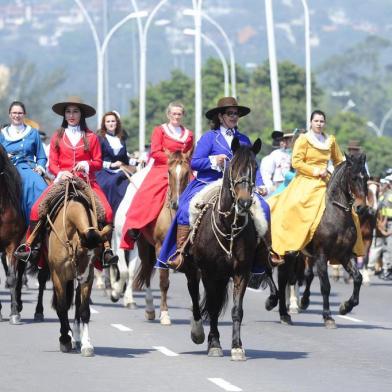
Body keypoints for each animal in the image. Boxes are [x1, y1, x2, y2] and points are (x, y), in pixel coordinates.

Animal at [45, 179, 108, 356]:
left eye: (96, 254)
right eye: (80, 252)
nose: (82, 276)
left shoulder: (88, 276)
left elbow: (84, 310)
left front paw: (86, 344)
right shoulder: (58, 276)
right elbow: (61, 307)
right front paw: (65, 338)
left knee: (77, 305)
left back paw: (77, 337)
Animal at [134, 150, 192, 324]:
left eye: (187, 172)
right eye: (169, 172)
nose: (176, 204)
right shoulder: (161, 249)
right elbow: (164, 281)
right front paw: (165, 314)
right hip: (144, 246)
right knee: (147, 271)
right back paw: (150, 309)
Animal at [183, 139, 276, 362]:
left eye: (255, 168)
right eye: (232, 167)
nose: (245, 202)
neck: (228, 226)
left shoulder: (241, 272)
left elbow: (236, 310)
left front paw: (237, 347)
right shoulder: (208, 272)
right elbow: (212, 308)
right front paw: (214, 344)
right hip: (193, 269)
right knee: (195, 296)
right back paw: (198, 332)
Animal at [278, 153, 368, 328]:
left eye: (366, 177)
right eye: (353, 177)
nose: (362, 208)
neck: (337, 215)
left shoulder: (345, 255)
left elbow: (358, 278)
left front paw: (345, 307)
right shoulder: (322, 255)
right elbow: (325, 286)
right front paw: (328, 316)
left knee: (303, 276)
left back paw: (299, 303)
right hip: (290, 253)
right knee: (285, 277)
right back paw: (283, 310)